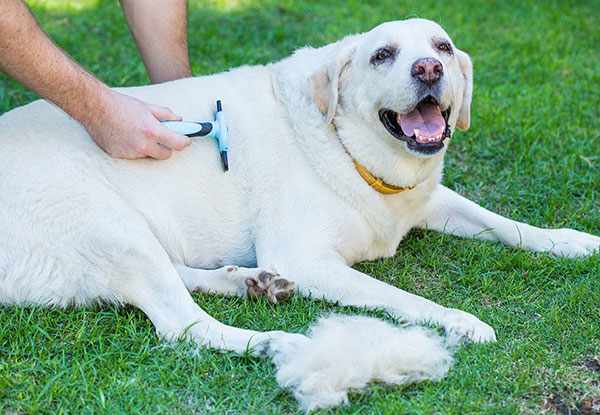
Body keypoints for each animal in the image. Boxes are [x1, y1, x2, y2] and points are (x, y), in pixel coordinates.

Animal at [1, 18, 600, 410]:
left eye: (444, 47)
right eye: (382, 54)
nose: (430, 68)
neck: (350, 148)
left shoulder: (428, 198)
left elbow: (509, 225)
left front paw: (573, 242)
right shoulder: (308, 257)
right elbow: (404, 299)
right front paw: (460, 320)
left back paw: (248, 282)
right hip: (109, 223)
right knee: (183, 325)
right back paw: (282, 341)